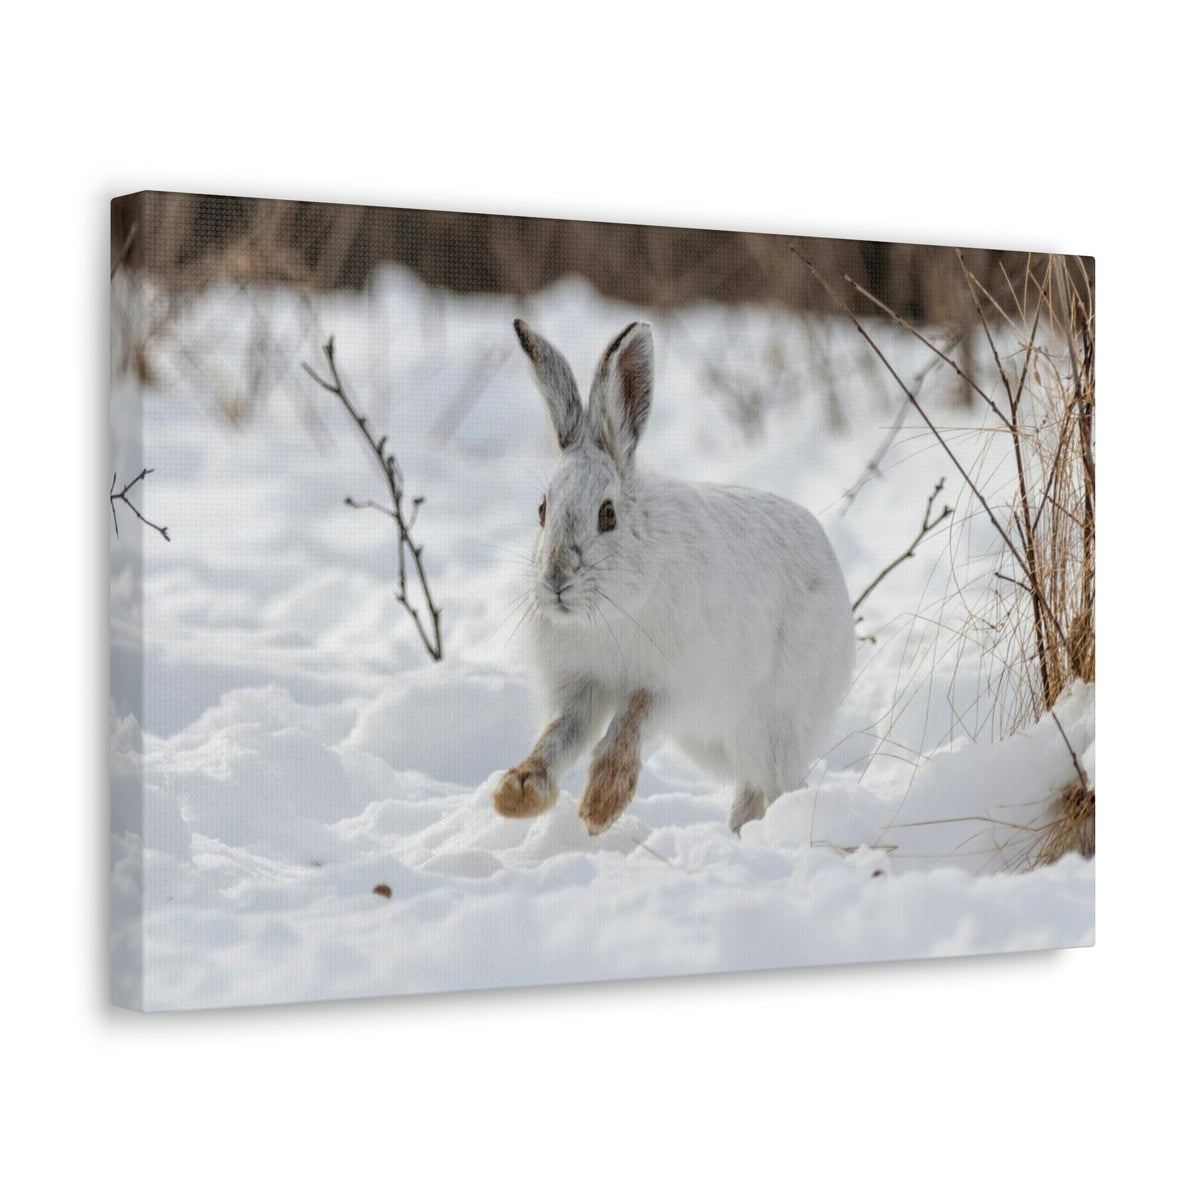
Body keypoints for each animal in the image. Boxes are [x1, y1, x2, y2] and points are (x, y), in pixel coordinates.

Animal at [493, 318, 855, 836]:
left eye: (607, 516)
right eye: (542, 510)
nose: (556, 580)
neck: (605, 611)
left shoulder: (671, 683)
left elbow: (631, 719)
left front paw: (601, 804)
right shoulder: (580, 688)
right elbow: (558, 736)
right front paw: (517, 793)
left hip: (774, 724)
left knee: (774, 785)